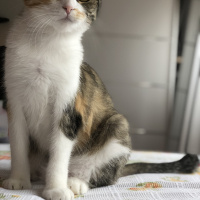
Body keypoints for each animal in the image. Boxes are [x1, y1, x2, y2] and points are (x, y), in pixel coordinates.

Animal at [2, 0, 199, 200]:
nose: (69, 7)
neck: (48, 43)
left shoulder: (69, 107)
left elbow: (59, 153)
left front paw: (56, 188)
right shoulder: (14, 100)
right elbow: (18, 146)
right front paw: (18, 179)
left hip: (117, 126)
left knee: (106, 176)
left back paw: (76, 182)